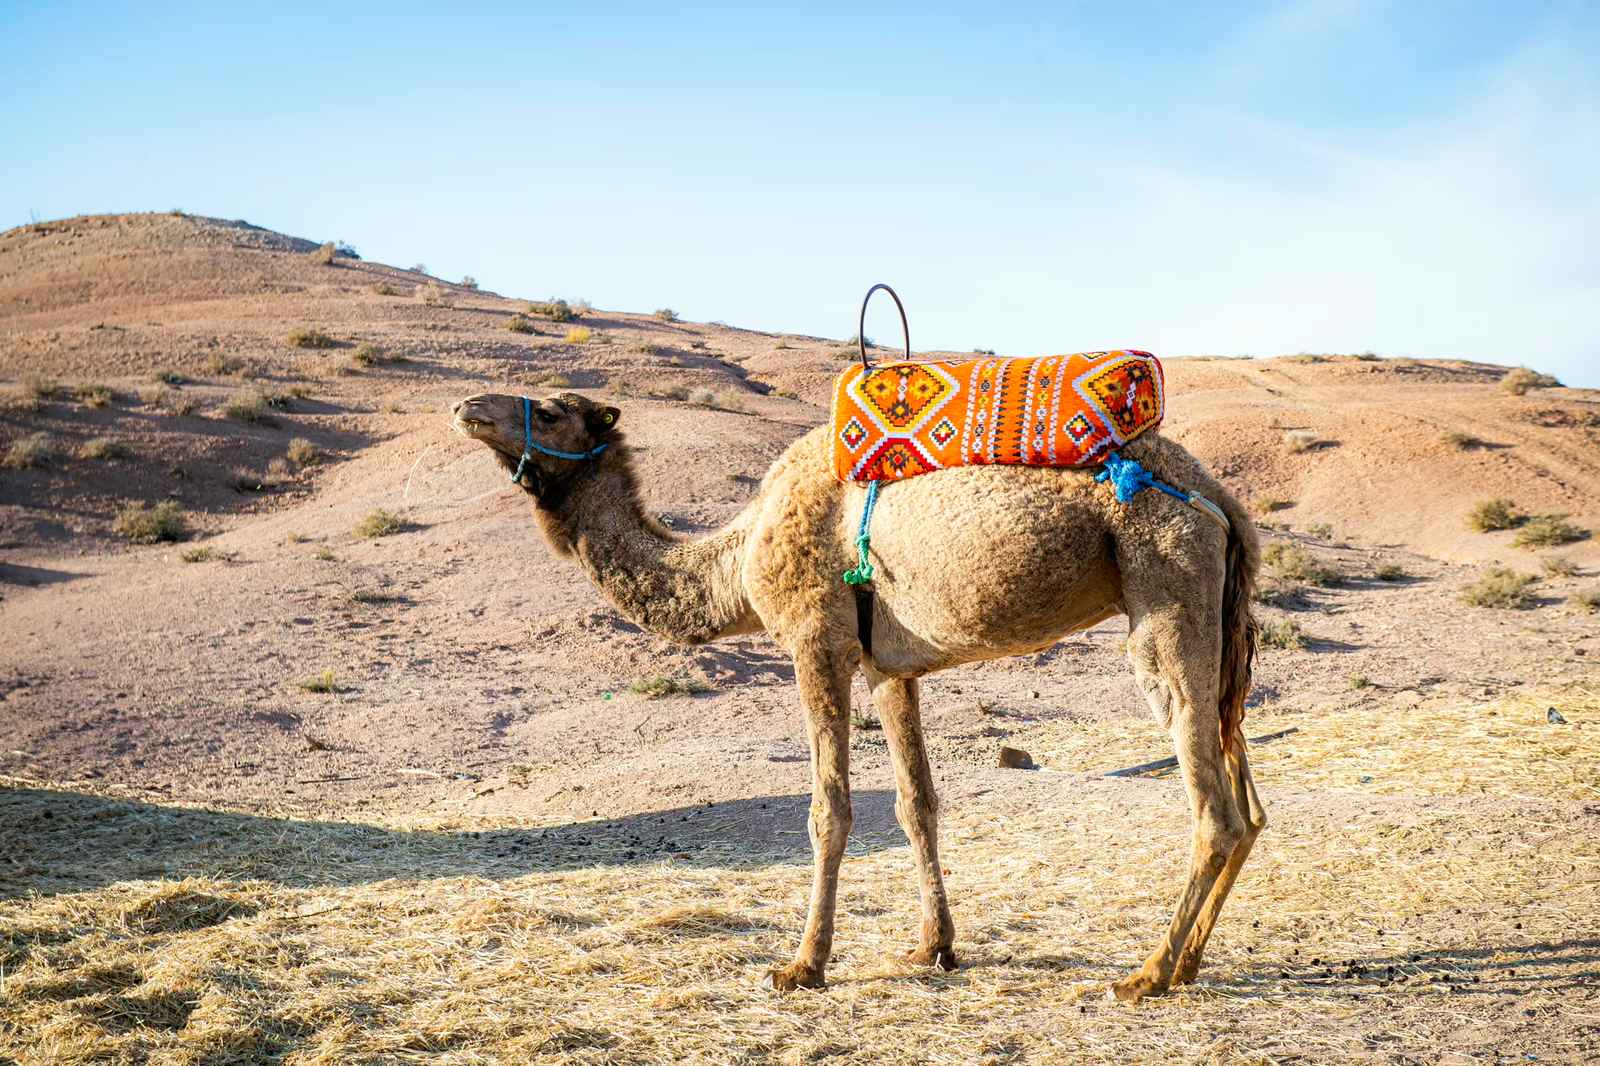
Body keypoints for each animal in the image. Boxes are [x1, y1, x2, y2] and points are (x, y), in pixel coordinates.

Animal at [450, 389, 1265, 1002]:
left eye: (551, 409)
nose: (467, 407)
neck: (738, 557)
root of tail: (1223, 501)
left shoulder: (817, 641)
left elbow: (829, 811)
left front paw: (801, 965)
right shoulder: (888, 666)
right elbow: (916, 804)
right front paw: (934, 948)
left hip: (1165, 587)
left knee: (1214, 808)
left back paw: (1148, 973)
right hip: (1217, 618)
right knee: (1248, 802)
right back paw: (1190, 961)